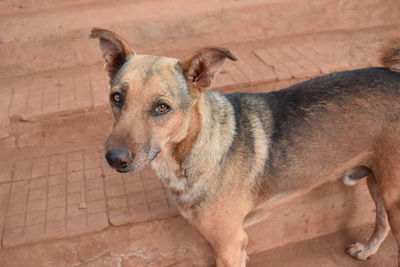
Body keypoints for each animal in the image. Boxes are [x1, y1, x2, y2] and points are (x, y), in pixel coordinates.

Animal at [90, 27, 400, 267]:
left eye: (162, 107)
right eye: (117, 98)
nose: (114, 159)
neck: (194, 149)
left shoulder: (228, 243)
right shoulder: (236, 246)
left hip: (393, 196)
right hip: (378, 182)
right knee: (381, 220)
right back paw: (367, 250)